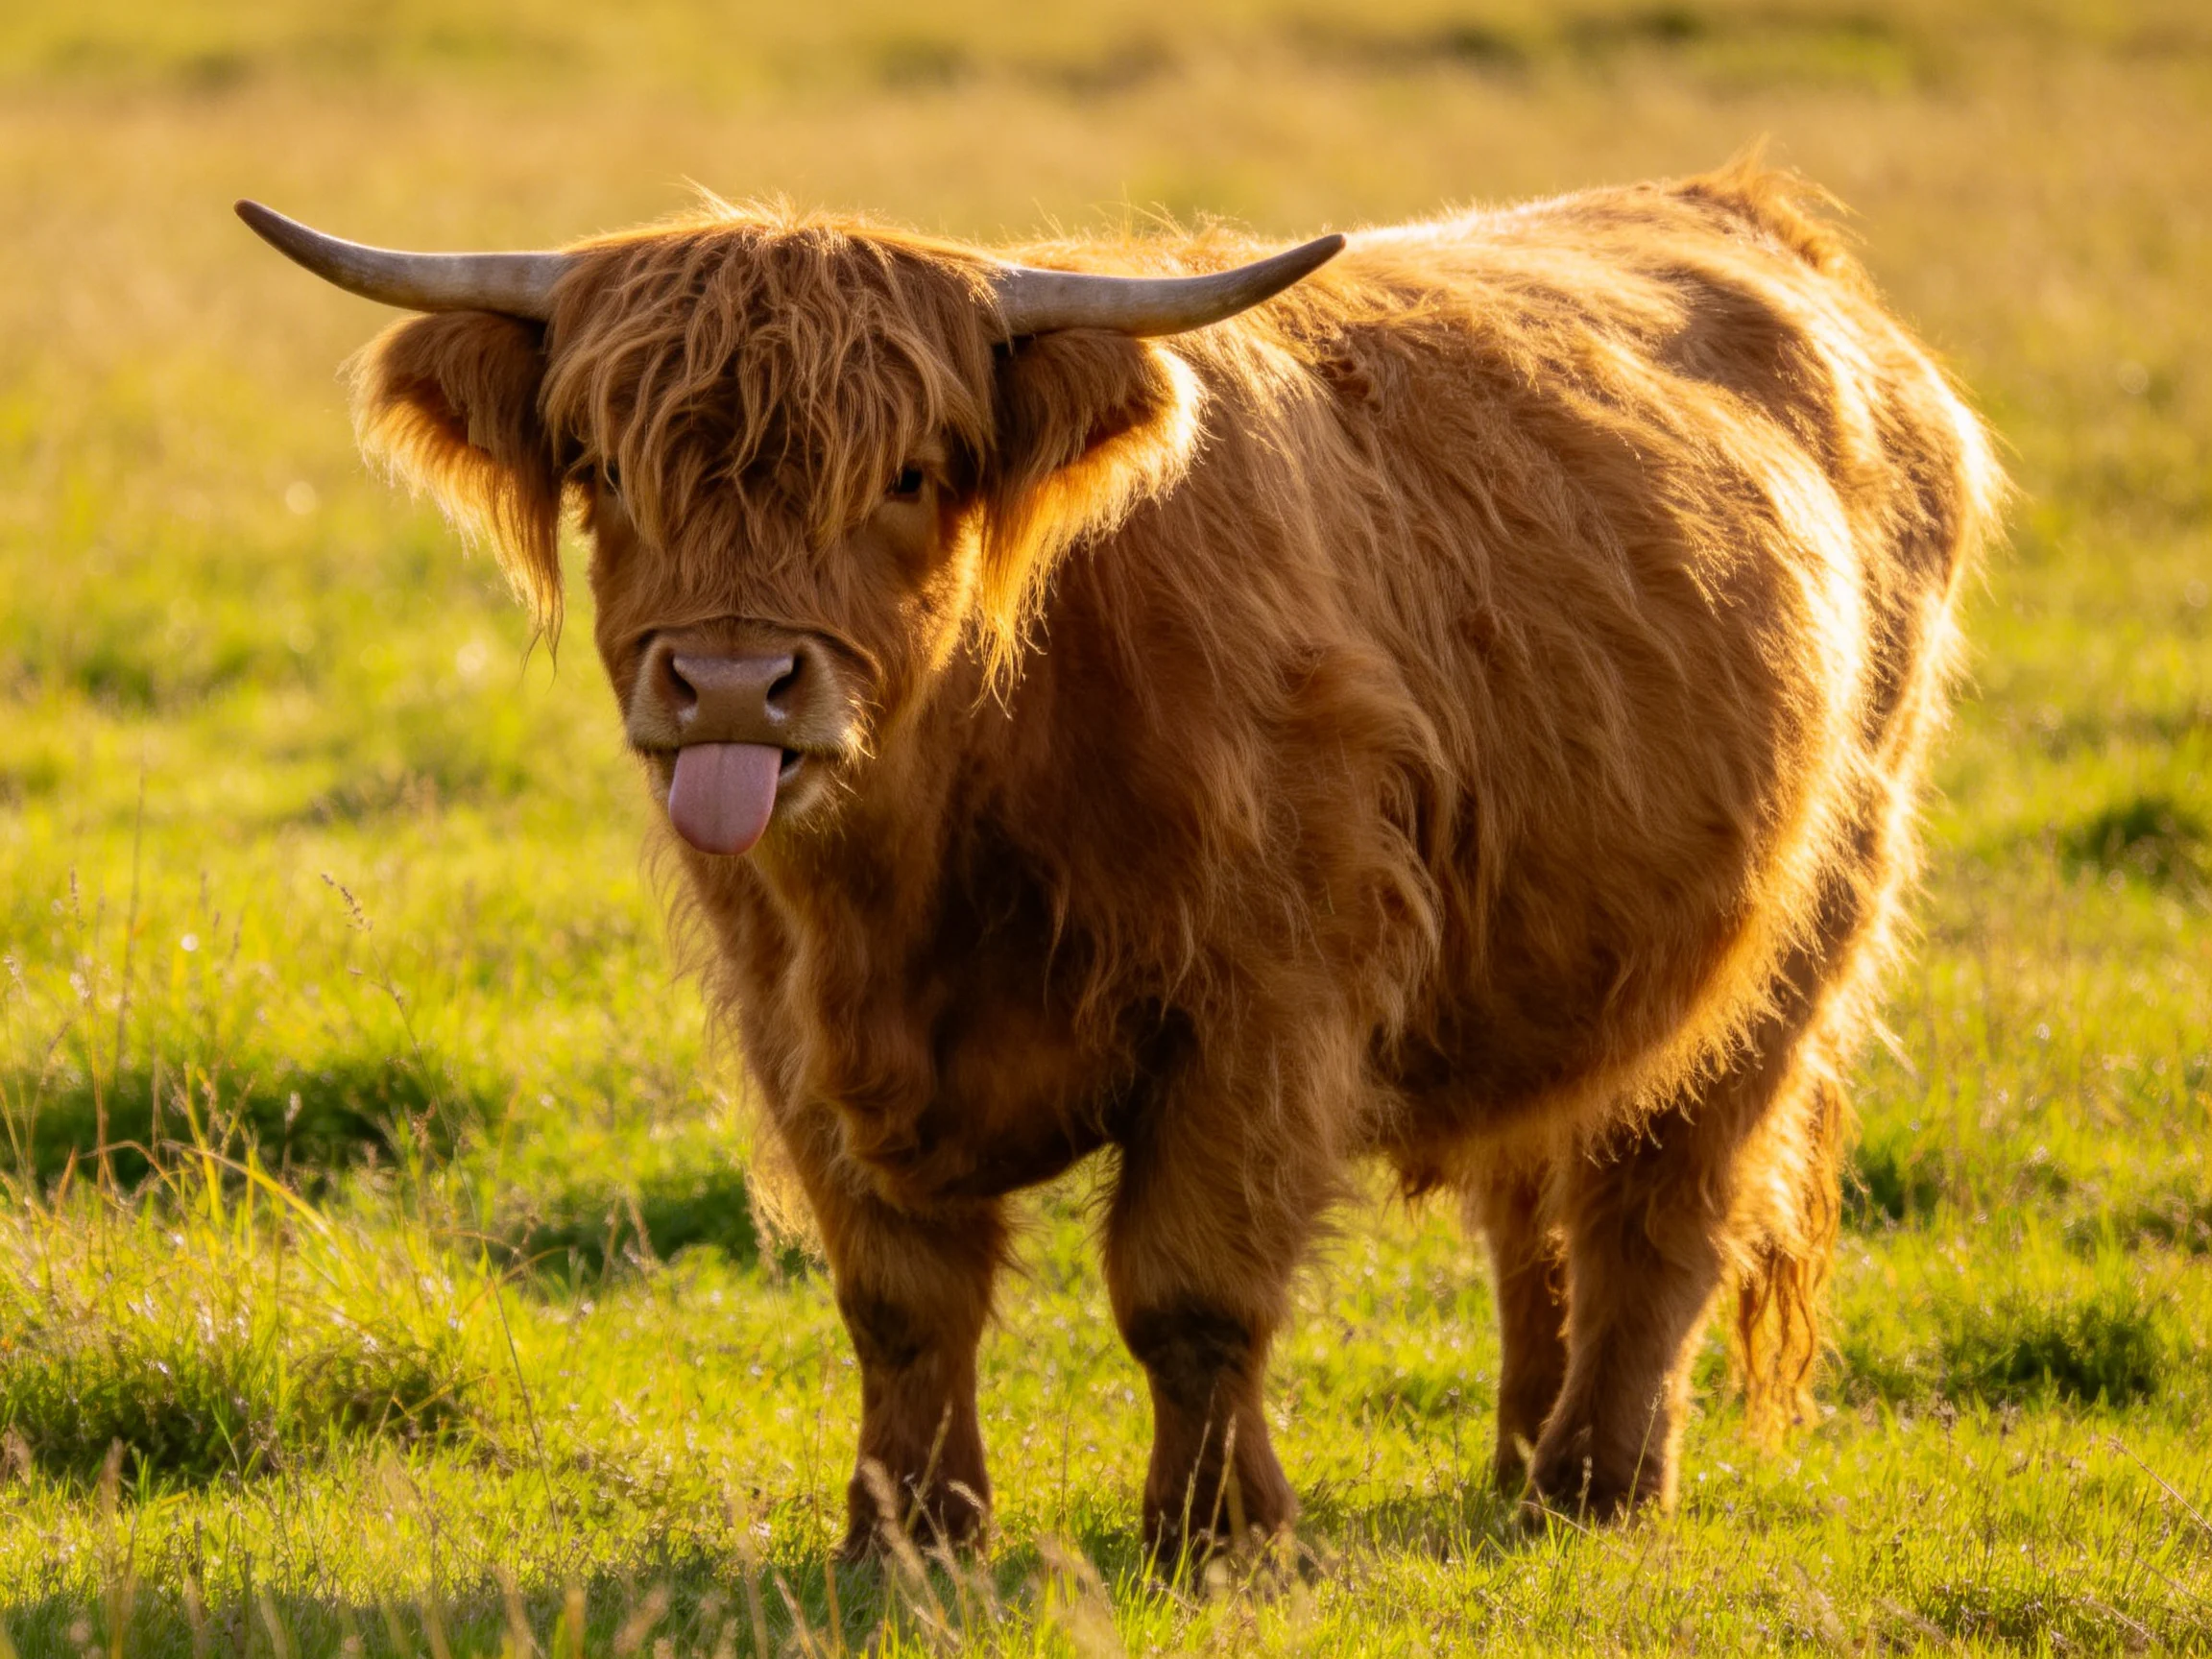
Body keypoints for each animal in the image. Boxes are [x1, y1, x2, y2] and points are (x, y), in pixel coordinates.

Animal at [238, 158, 2001, 1561]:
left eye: (911, 473)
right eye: (606, 470)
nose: (734, 689)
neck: (928, 852)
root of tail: (1738, 213)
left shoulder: (1264, 1010)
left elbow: (1187, 1290)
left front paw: (1220, 1538)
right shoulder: (791, 1024)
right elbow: (900, 1304)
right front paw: (908, 1538)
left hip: (1803, 924)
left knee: (1660, 1200)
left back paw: (1595, 1485)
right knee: (1538, 1190)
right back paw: (1515, 1460)